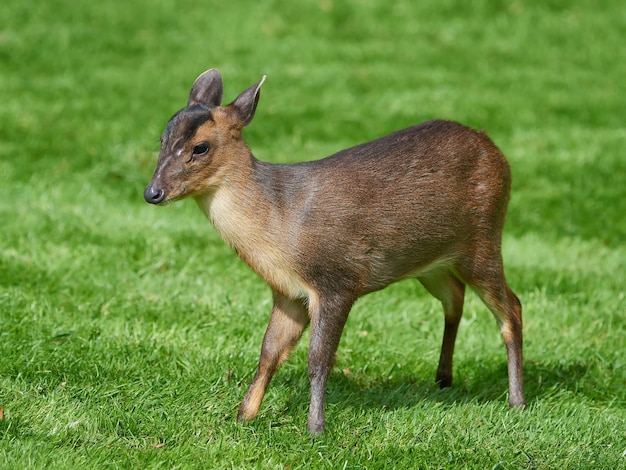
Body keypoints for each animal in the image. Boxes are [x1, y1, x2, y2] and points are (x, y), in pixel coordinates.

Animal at [144, 69, 524, 434]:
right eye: (162, 139)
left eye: (200, 147)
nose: (153, 192)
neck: (280, 222)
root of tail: (493, 147)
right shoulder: (288, 293)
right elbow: (268, 352)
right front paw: (243, 417)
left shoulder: (337, 280)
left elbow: (319, 359)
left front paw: (315, 428)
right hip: (432, 263)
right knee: (455, 299)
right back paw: (444, 379)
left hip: (483, 239)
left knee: (512, 308)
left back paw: (516, 400)